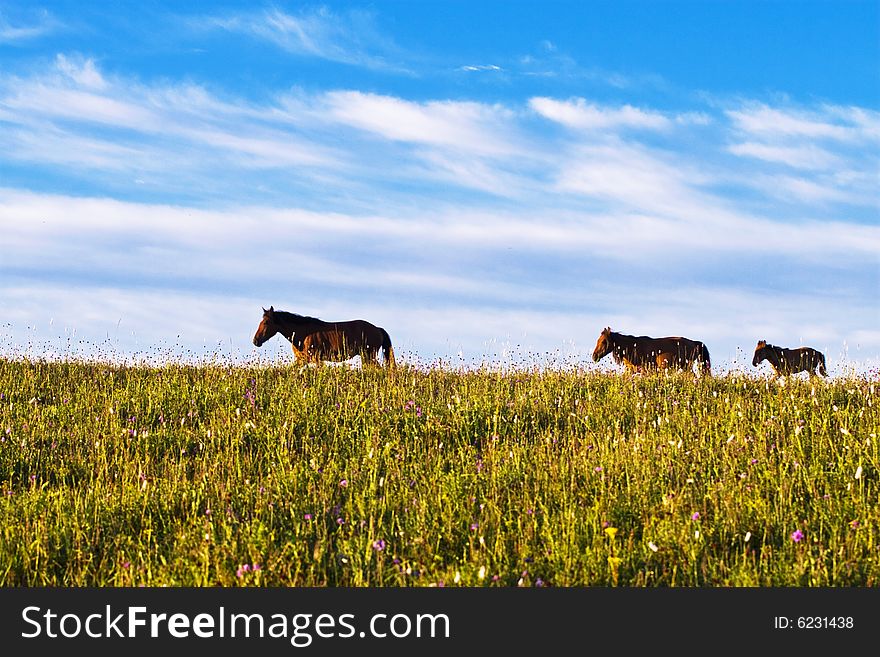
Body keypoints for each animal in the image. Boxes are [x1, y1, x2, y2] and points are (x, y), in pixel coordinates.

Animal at [251, 306, 396, 366]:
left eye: (266, 322)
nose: (255, 341)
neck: (304, 335)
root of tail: (377, 329)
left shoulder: (316, 359)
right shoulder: (301, 360)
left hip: (369, 355)